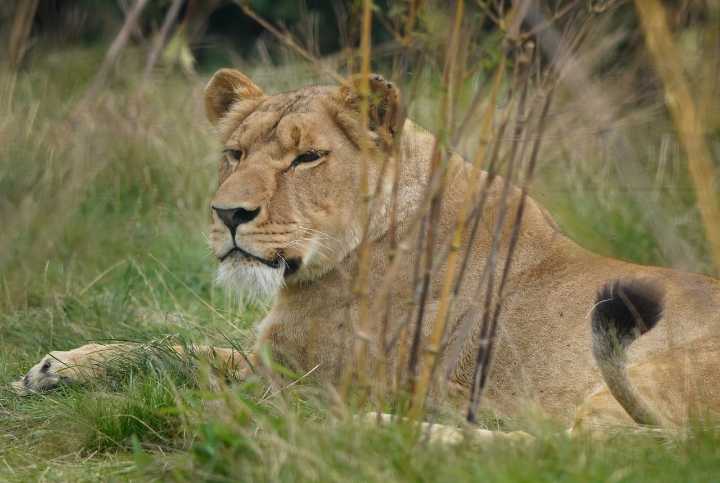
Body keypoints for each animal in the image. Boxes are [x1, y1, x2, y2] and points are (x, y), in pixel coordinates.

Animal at [13, 69, 720, 437]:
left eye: (307, 157)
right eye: (235, 153)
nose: (229, 215)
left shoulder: (299, 378)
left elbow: (189, 366)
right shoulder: (275, 356)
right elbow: (173, 348)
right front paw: (54, 367)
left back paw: (380, 426)